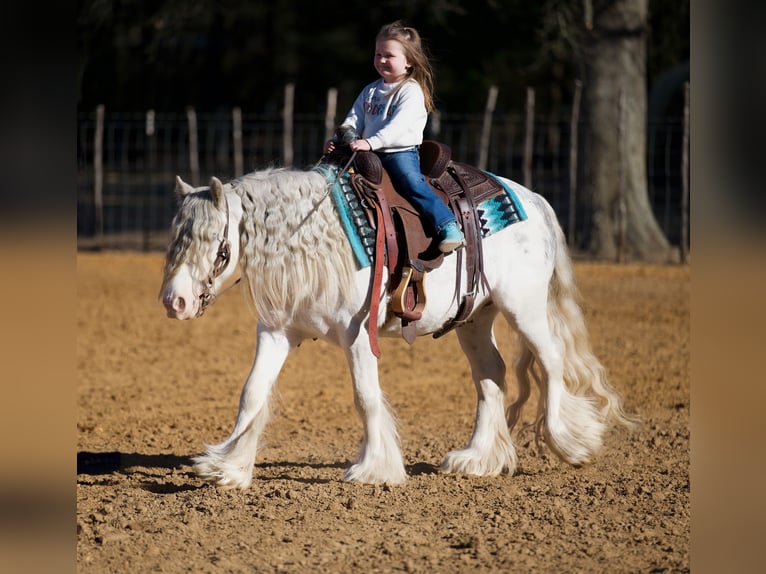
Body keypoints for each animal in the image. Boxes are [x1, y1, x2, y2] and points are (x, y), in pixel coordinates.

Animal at [159, 163, 634, 489]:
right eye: (175, 239)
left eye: (217, 246)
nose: (174, 301)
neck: (314, 240)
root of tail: (533, 200)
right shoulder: (277, 332)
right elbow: (252, 394)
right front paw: (227, 467)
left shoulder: (357, 335)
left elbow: (365, 397)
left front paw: (374, 468)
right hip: (475, 318)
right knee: (491, 376)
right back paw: (478, 459)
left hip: (524, 307)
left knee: (551, 362)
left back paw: (570, 443)